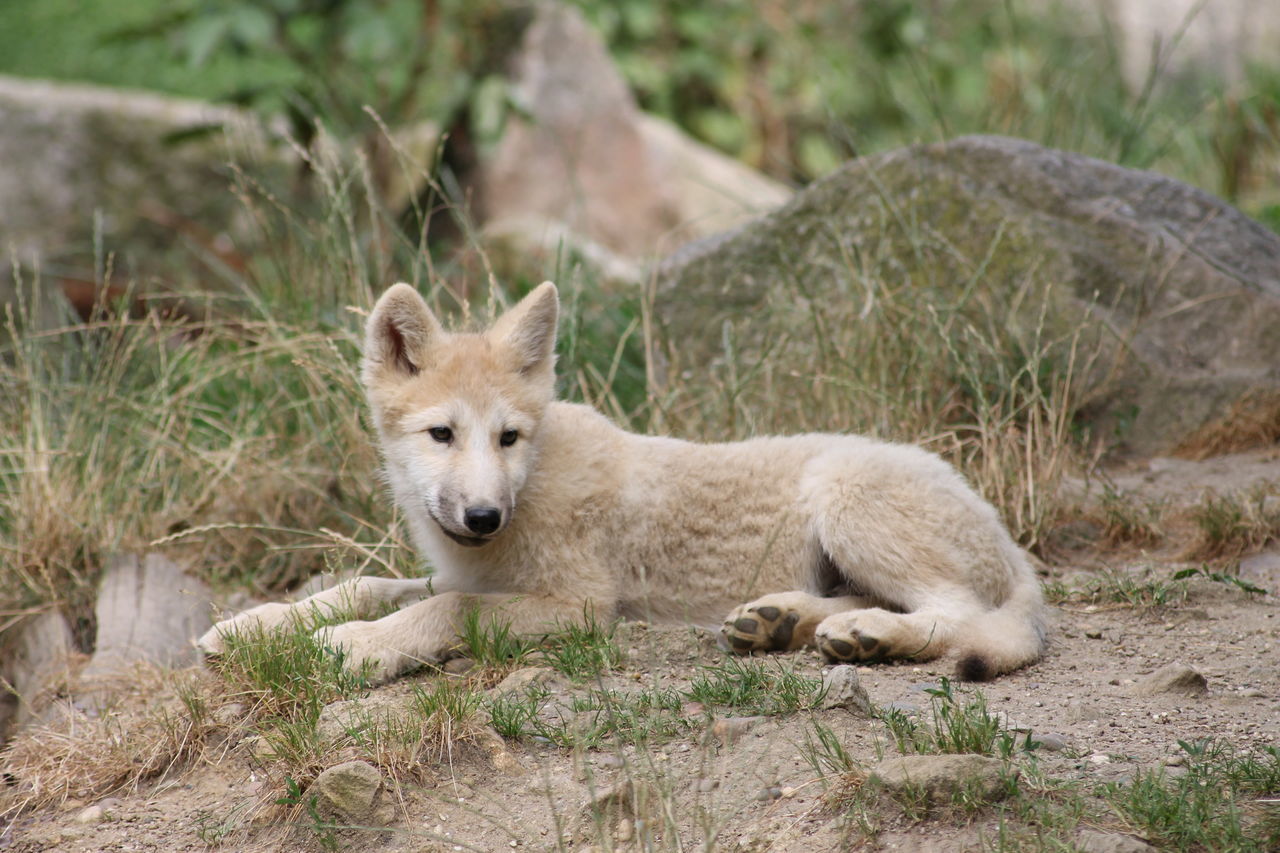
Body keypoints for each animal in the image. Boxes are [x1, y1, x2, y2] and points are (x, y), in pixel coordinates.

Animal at [197, 281, 1039, 681]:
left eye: (508, 437)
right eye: (441, 434)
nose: (484, 516)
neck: (532, 484)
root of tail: (1009, 540)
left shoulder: (577, 604)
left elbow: (442, 612)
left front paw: (355, 648)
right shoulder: (461, 569)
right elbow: (365, 586)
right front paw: (255, 626)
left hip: (847, 500)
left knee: (956, 614)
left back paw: (867, 636)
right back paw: (782, 621)